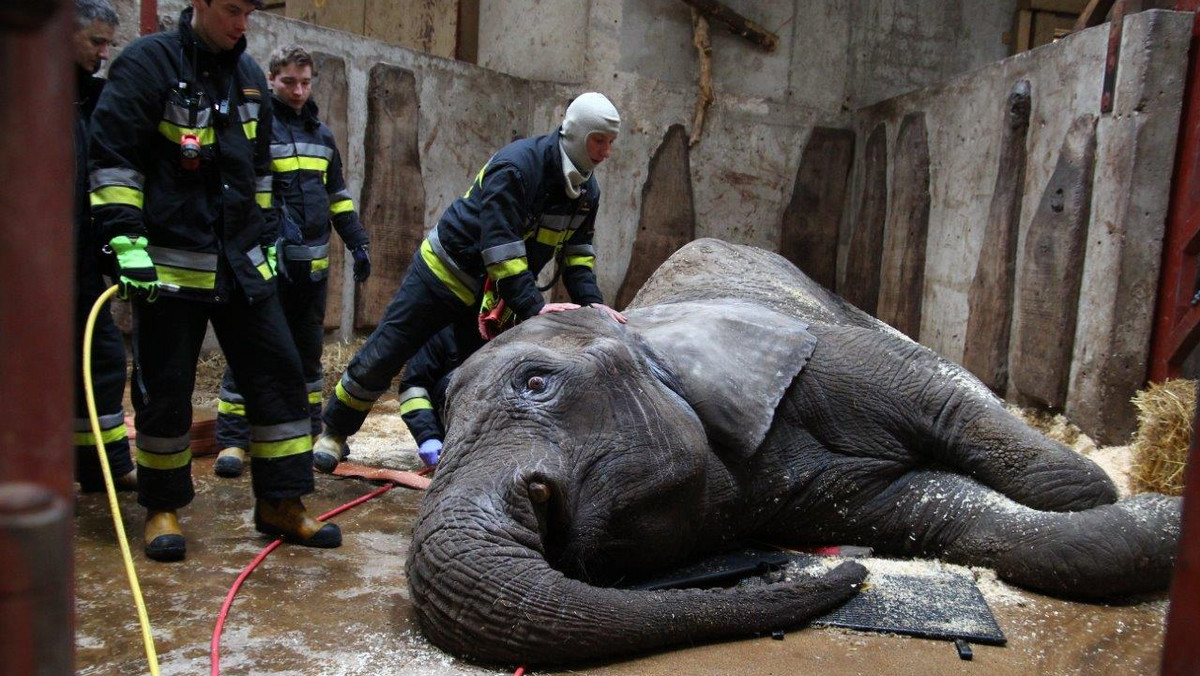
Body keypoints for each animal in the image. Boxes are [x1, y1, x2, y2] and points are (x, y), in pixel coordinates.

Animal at [405, 237, 1180, 667]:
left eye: (536, 382)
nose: (851, 574)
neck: (638, 325)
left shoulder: (831, 353)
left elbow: (946, 397)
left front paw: (1105, 491)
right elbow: (948, 515)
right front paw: (1161, 521)